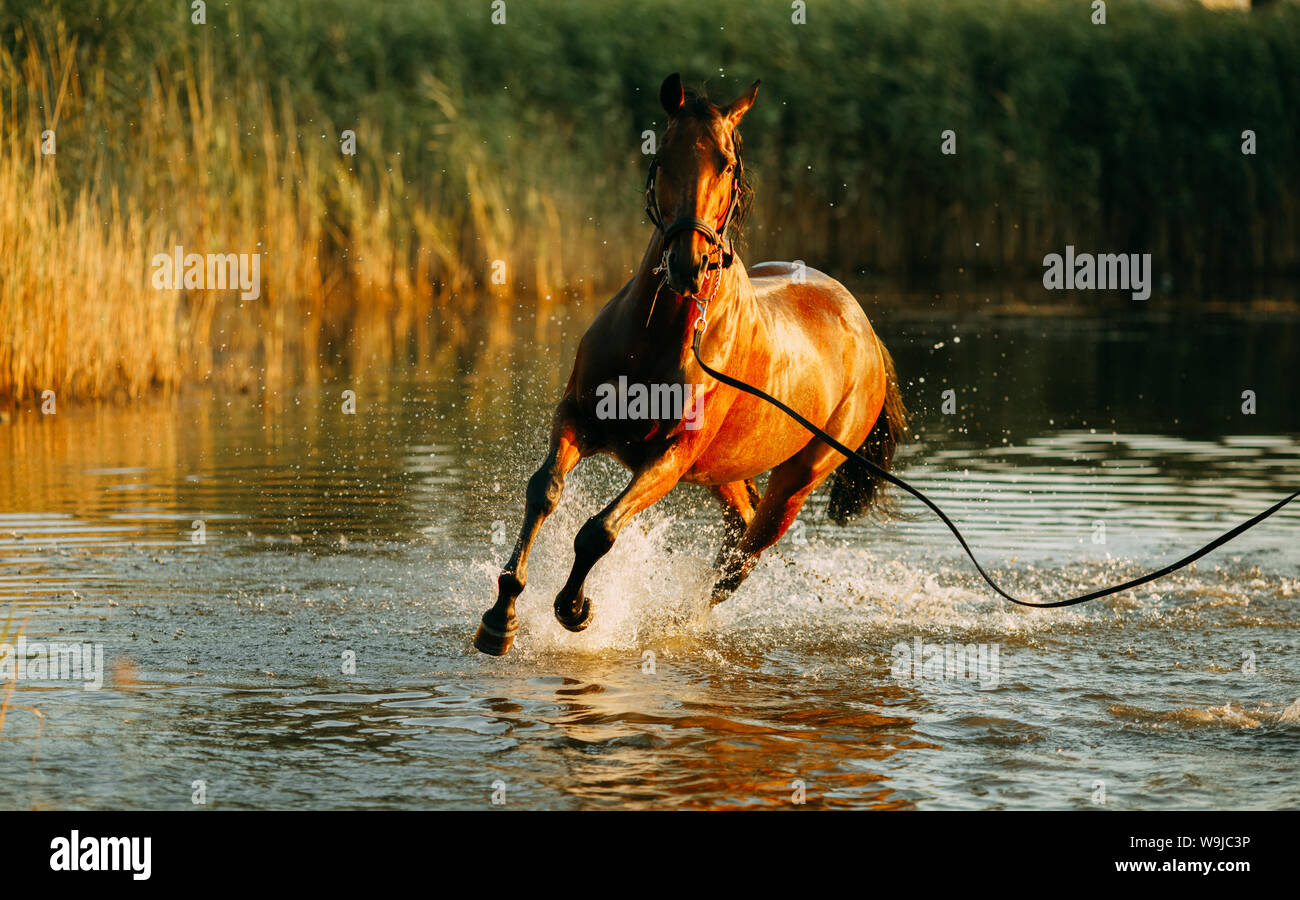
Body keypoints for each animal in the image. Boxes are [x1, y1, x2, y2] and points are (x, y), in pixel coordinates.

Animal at [473, 73, 909, 658]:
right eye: (663, 156)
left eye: (725, 163)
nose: (688, 264)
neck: (657, 335)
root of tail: (863, 327)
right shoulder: (577, 418)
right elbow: (544, 491)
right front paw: (501, 616)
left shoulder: (672, 456)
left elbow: (598, 531)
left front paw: (575, 608)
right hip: (725, 472)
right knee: (738, 528)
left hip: (797, 481)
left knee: (739, 561)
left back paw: (674, 623)